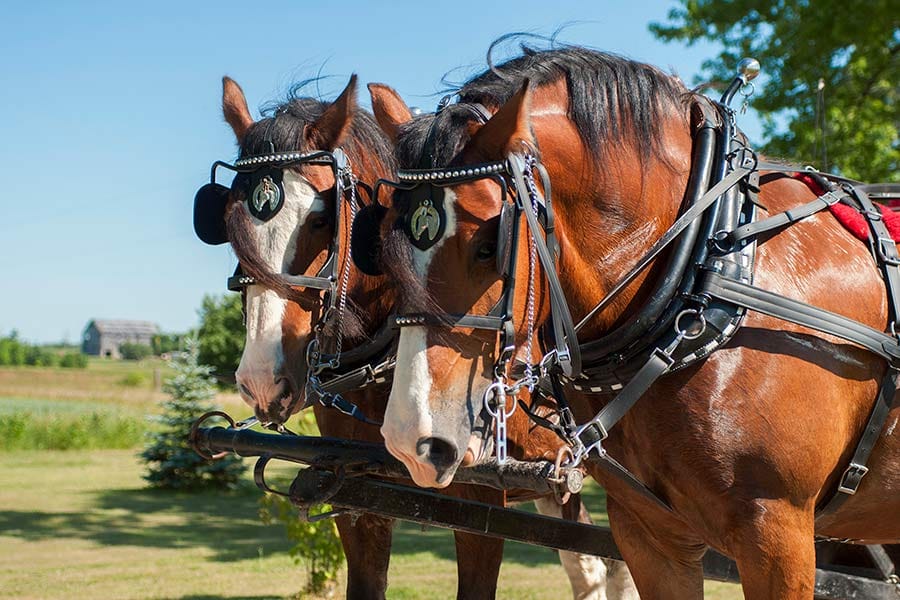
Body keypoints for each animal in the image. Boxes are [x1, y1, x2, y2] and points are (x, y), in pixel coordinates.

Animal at [366, 45, 900, 598]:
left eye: (489, 245)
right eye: (383, 244)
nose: (411, 438)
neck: (708, 272)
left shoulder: (778, 536)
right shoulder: (651, 536)